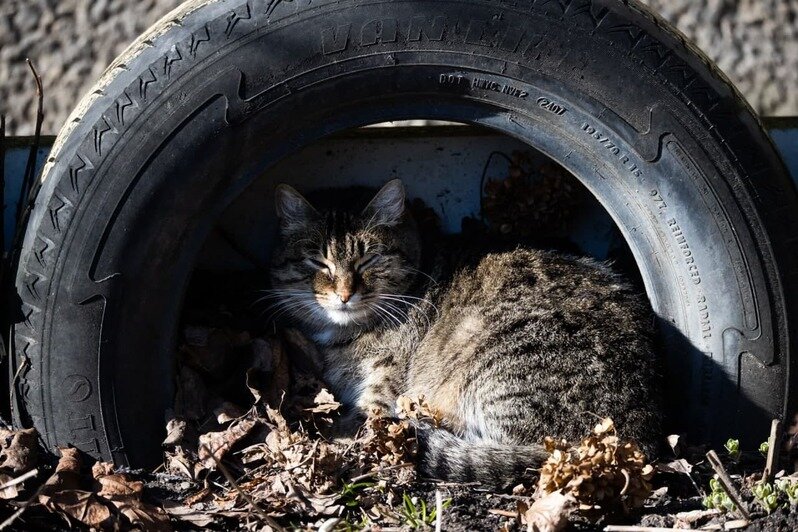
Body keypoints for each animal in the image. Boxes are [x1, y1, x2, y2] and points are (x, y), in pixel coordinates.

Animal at [268, 179, 664, 486]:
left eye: (369, 259)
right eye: (318, 262)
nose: (345, 294)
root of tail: (635, 433)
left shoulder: (380, 395)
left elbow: (362, 419)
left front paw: (330, 435)